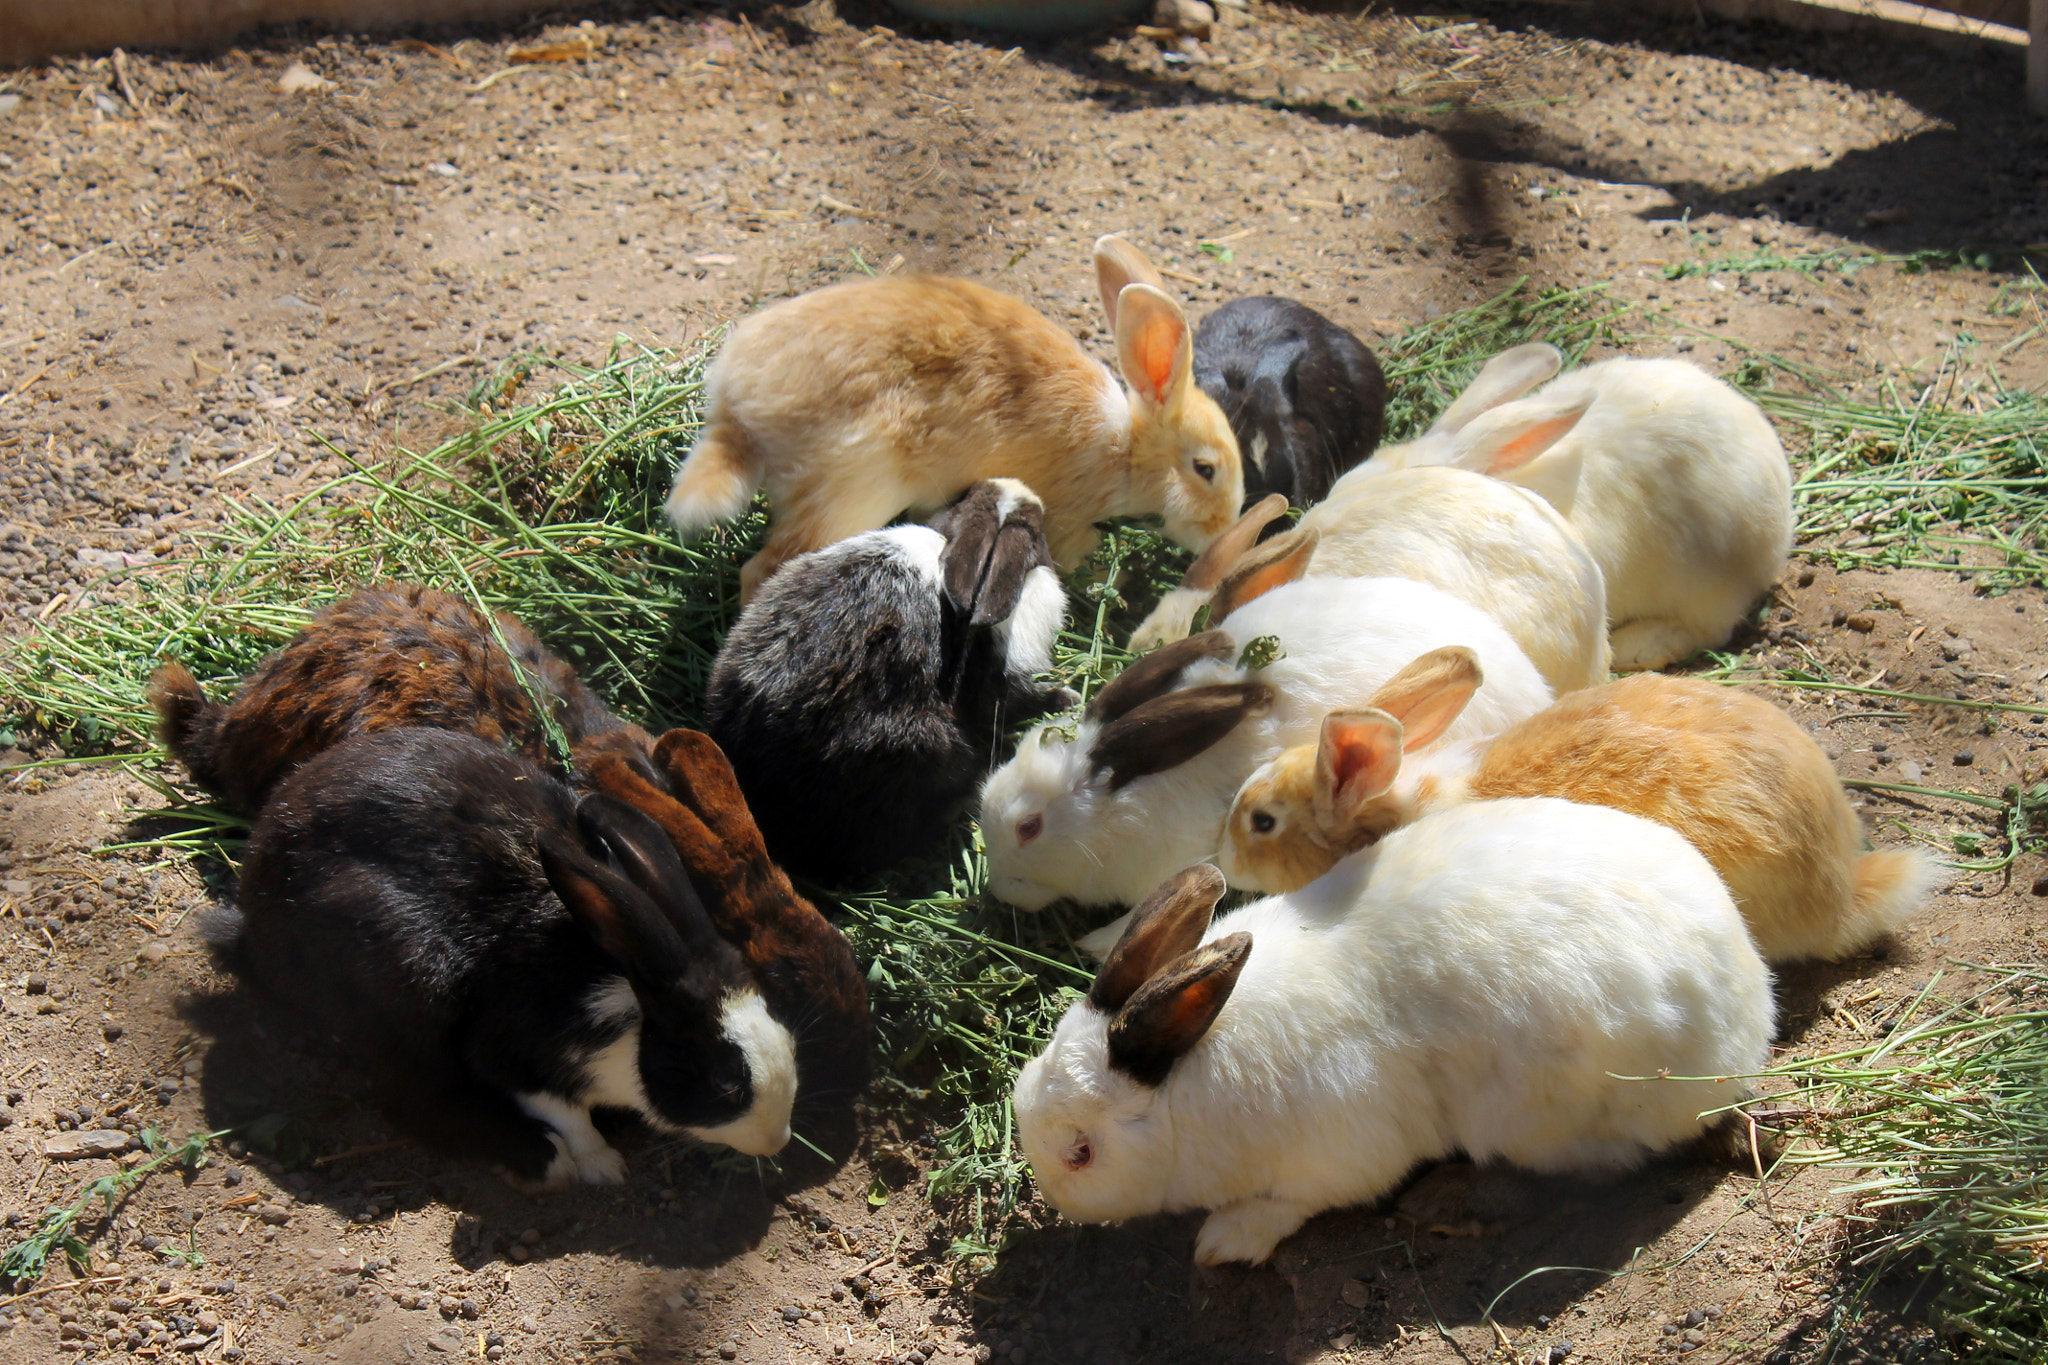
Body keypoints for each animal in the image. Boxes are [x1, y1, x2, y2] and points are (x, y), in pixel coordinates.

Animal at [219, 727, 799, 1185]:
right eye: (727, 1080)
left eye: (786, 1033)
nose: (779, 1141)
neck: (633, 988)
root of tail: (254, 908)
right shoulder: (514, 1054)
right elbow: (563, 1111)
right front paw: (600, 1164)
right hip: (406, 983)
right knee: (419, 1100)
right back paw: (542, 1159)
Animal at [663, 235, 1242, 604]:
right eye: (1205, 469)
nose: (1224, 530)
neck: (1123, 449)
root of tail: (739, 412)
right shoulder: (1066, 516)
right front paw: (1111, 582)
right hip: (852, 495)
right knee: (762, 570)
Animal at [705, 479, 1072, 884]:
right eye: (1034, 534)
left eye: (961, 501)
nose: (1013, 486)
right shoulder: (1004, 678)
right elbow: (1018, 701)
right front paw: (1066, 699)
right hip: (929, 747)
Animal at [1013, 801, 1776, 1266]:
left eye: (1081, 1152)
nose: (1054, 1196)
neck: (1188, 1077)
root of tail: (1746, 1029)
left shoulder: (1340, 1155)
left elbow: (1290, 1203)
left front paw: (1224, 1241)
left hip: (1545, 1116)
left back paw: (1446, 1199)